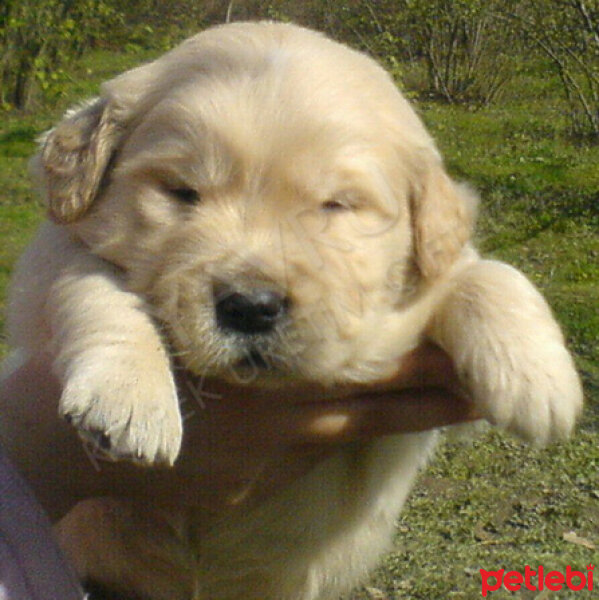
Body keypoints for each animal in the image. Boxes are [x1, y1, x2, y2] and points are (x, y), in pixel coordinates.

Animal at [3, 19, 580, 600]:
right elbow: (95, 284)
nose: (251, 308)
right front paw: (129, 398)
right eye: (183, 192)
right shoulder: (51, 259)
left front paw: (540, 382)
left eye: (336, 205)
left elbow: (484, 273)